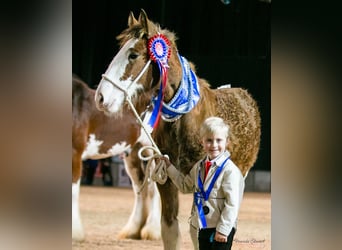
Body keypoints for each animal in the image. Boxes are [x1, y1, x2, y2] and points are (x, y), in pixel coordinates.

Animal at [71, 75, 162, 241]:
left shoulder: (75, 153)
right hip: (133, 155)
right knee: (140, 190)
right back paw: (133, 230)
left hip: (151, 153)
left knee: (154, 189)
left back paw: (152, 230)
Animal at [93, 10, 260, 250]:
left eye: (133, 55)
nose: (101, 97)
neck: (185, 118)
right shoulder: (168, 180)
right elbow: (170, 228)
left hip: (241, 174)